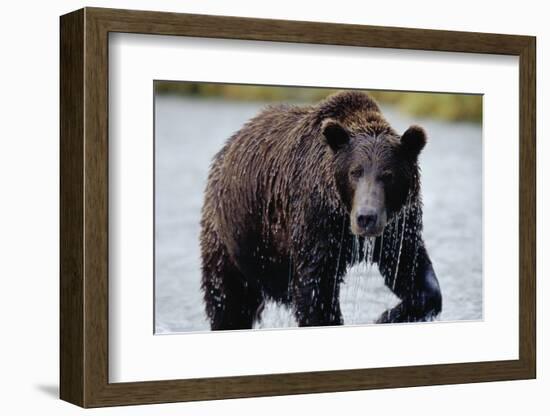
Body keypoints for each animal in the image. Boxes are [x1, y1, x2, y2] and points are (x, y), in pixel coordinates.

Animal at [201, 90, 442, 328]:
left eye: (388, 175)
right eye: (355, 172)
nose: (366, 217)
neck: (343, 216)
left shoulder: (398, 229)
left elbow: (412, 272)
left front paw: (386, 316)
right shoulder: (316, 222)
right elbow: (316, 290)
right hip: (233, 236)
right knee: (228, 300)